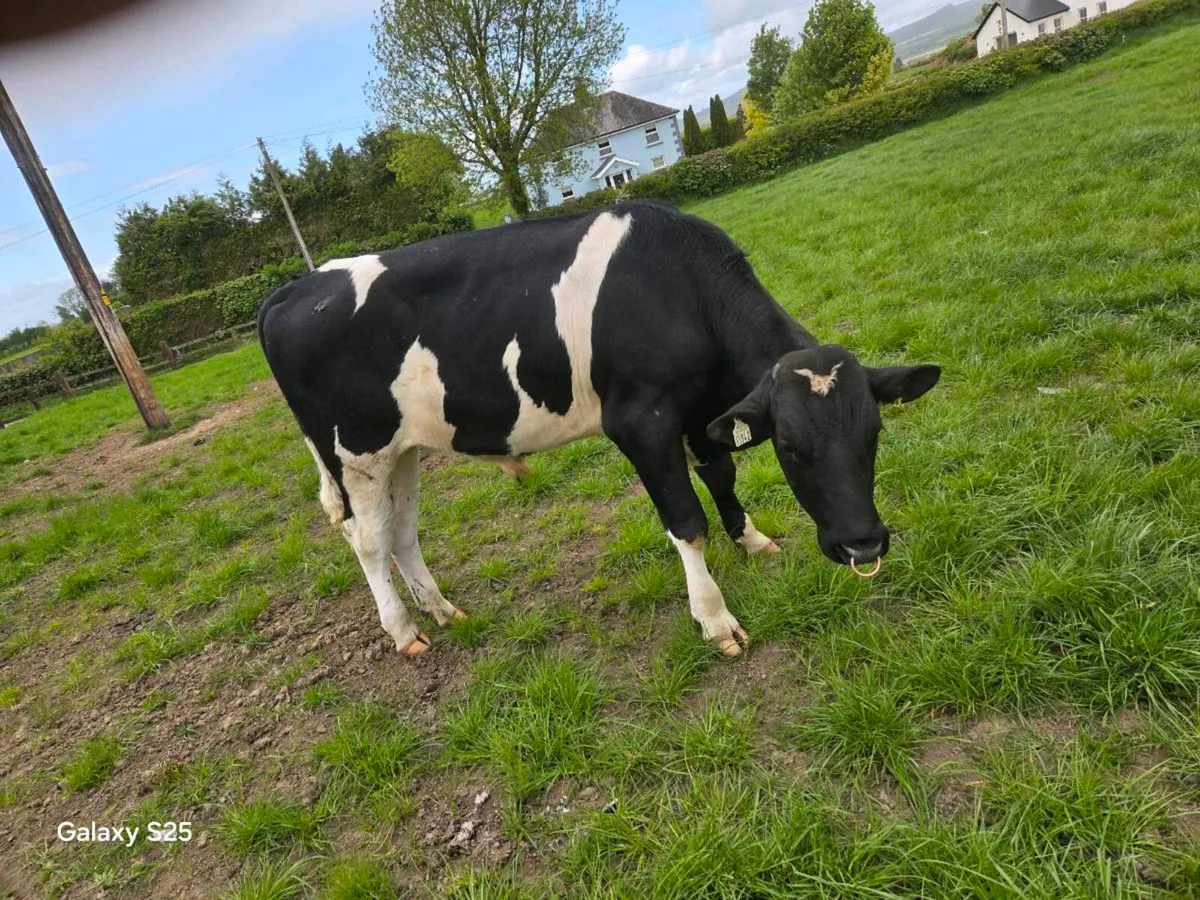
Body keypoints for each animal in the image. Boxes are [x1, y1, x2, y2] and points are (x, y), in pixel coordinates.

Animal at [257, 200, 940, 658]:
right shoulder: (641, 420)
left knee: (402, 532)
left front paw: (752, 540)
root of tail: (294, 287)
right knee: (369, 543)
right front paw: (715, 619)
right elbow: (685, 520)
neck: (677, 287)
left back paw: (445, 610)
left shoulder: (705, 408)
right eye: (793, 450)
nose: (863, 546)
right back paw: (406, 633)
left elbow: (720, 472)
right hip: (357, 453)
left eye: (874, 434)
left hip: (403, 449)